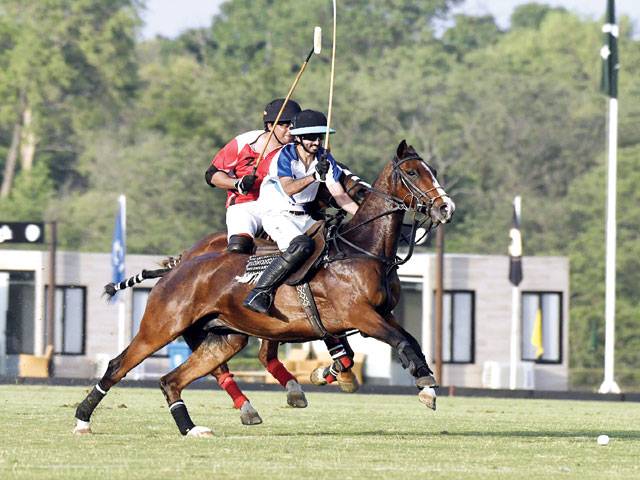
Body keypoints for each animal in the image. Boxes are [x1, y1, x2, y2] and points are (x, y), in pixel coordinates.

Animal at [74, 141, 456, 436]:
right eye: (412, 173)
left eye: (432, 169)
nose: (445, 207)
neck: (363, 249)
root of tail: (178, 266)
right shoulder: (360, 315)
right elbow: (401, 341)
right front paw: (426, 386)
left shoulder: (380, 313)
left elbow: (408, 341)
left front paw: (421, 385)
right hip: (161, 326)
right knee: (118, 365)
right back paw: (82, 420)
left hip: (224, 338)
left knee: (173, 380)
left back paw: (192, 428)